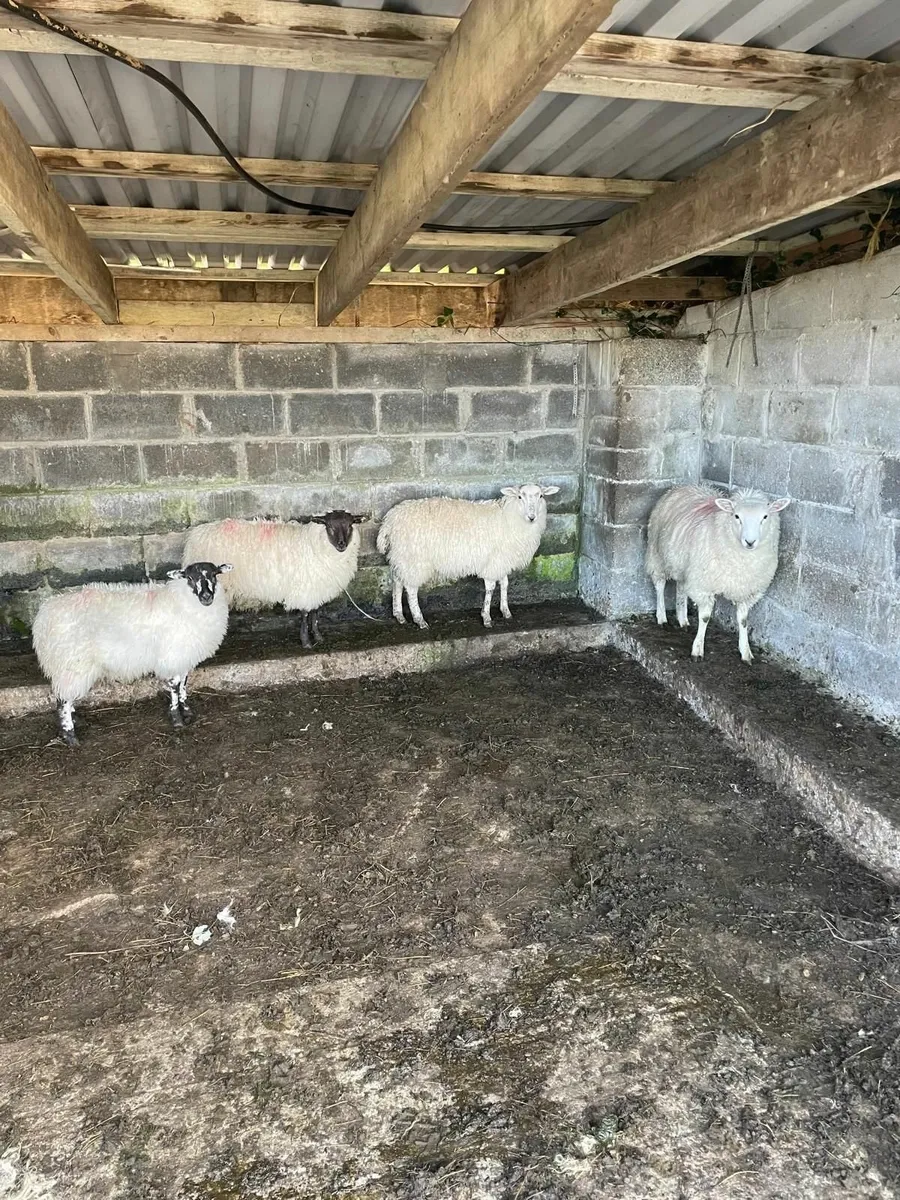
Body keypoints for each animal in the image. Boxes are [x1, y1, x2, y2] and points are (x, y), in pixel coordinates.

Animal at [31, 561, 232, 746]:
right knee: (63, 700)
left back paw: (76, 721)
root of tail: (44, 617)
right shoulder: (172, 655)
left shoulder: (183, 656)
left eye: (214, 574)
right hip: (72, 663)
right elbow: (175, 687)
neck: (182, 601)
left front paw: (187, 712)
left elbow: (184, 685)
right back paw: (70, 735)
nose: (206, 596)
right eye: (189, 578)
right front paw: (177, 720)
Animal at [183, 510, 364, 648]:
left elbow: (315, 613)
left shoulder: (317, 586)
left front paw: (318, 637)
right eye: (330, 527)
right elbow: (305, 614)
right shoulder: (305, 587)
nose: (342, 544)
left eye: (350, 525)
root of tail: (197, 534)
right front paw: (306, 642)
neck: (314, 544)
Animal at [377, 483, 560, 629]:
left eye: (541, 496)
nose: (532, 517)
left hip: (402, 556)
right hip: (414, 558)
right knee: (411, 589)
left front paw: (506, 611)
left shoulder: (501, 559)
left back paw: (399, 615)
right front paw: (486, 617)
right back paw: (419, 619)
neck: (511, 517)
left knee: (398, 582)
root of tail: (390, 520)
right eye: (520, 496)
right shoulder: (493, 562)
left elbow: (505, 584)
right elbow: (491, 588)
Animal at [645, 484, 791, 663]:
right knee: (660, 585)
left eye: (765, 516)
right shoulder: (703, 585)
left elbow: (743, 621)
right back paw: (662, 618)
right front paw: (697, 650)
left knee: (681, 587)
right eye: (736, 516)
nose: (750, 542)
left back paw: (683, 619)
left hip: (684, 565)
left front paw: (746, 652)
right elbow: (705, 617)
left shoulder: (747, 590)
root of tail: (684, 486)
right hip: (657, 555)